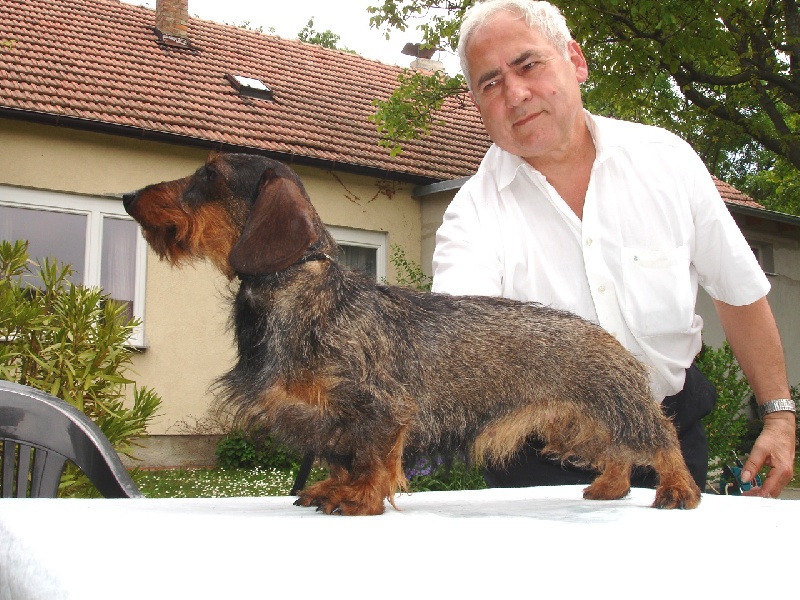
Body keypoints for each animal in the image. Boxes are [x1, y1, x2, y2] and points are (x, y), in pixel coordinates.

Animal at [123, 153, 702, 515]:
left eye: (210, 175)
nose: (128, 195)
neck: (302, 294)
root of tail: (608, 336)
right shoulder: (327, 418)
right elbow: (342, 455)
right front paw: (332, 487)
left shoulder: (380, 408)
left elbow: (373, 456)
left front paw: (359, 498)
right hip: (574, 422)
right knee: (618, 450)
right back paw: (610, 486)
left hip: (614, 407)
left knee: (661, 438)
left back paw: (678, 489)